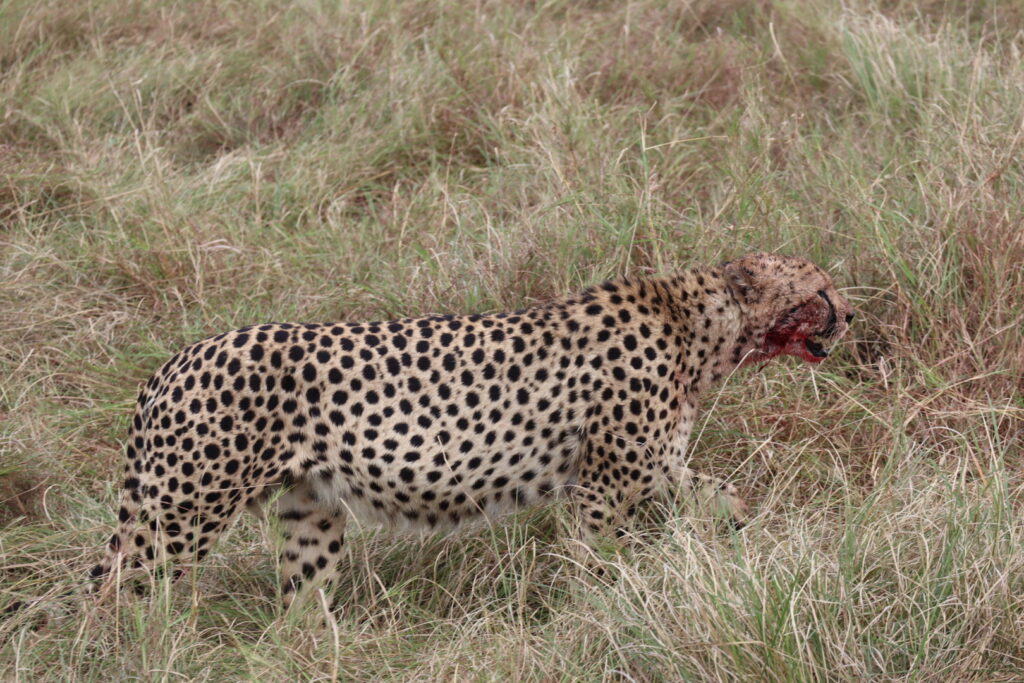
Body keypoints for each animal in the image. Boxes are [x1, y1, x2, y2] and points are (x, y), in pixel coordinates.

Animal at [88, 253, 856, 606]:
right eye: (819, 290)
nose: (850, 315)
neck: (701, 326)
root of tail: (174, 360)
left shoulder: (657, 466)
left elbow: (721, 496)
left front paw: (748, 544)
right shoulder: (603, 485)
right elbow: (596, 553)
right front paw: (597, 604)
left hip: (310, 508)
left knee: (300, 596)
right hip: (186, 510)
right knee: (120, 584)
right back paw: (133, 648)